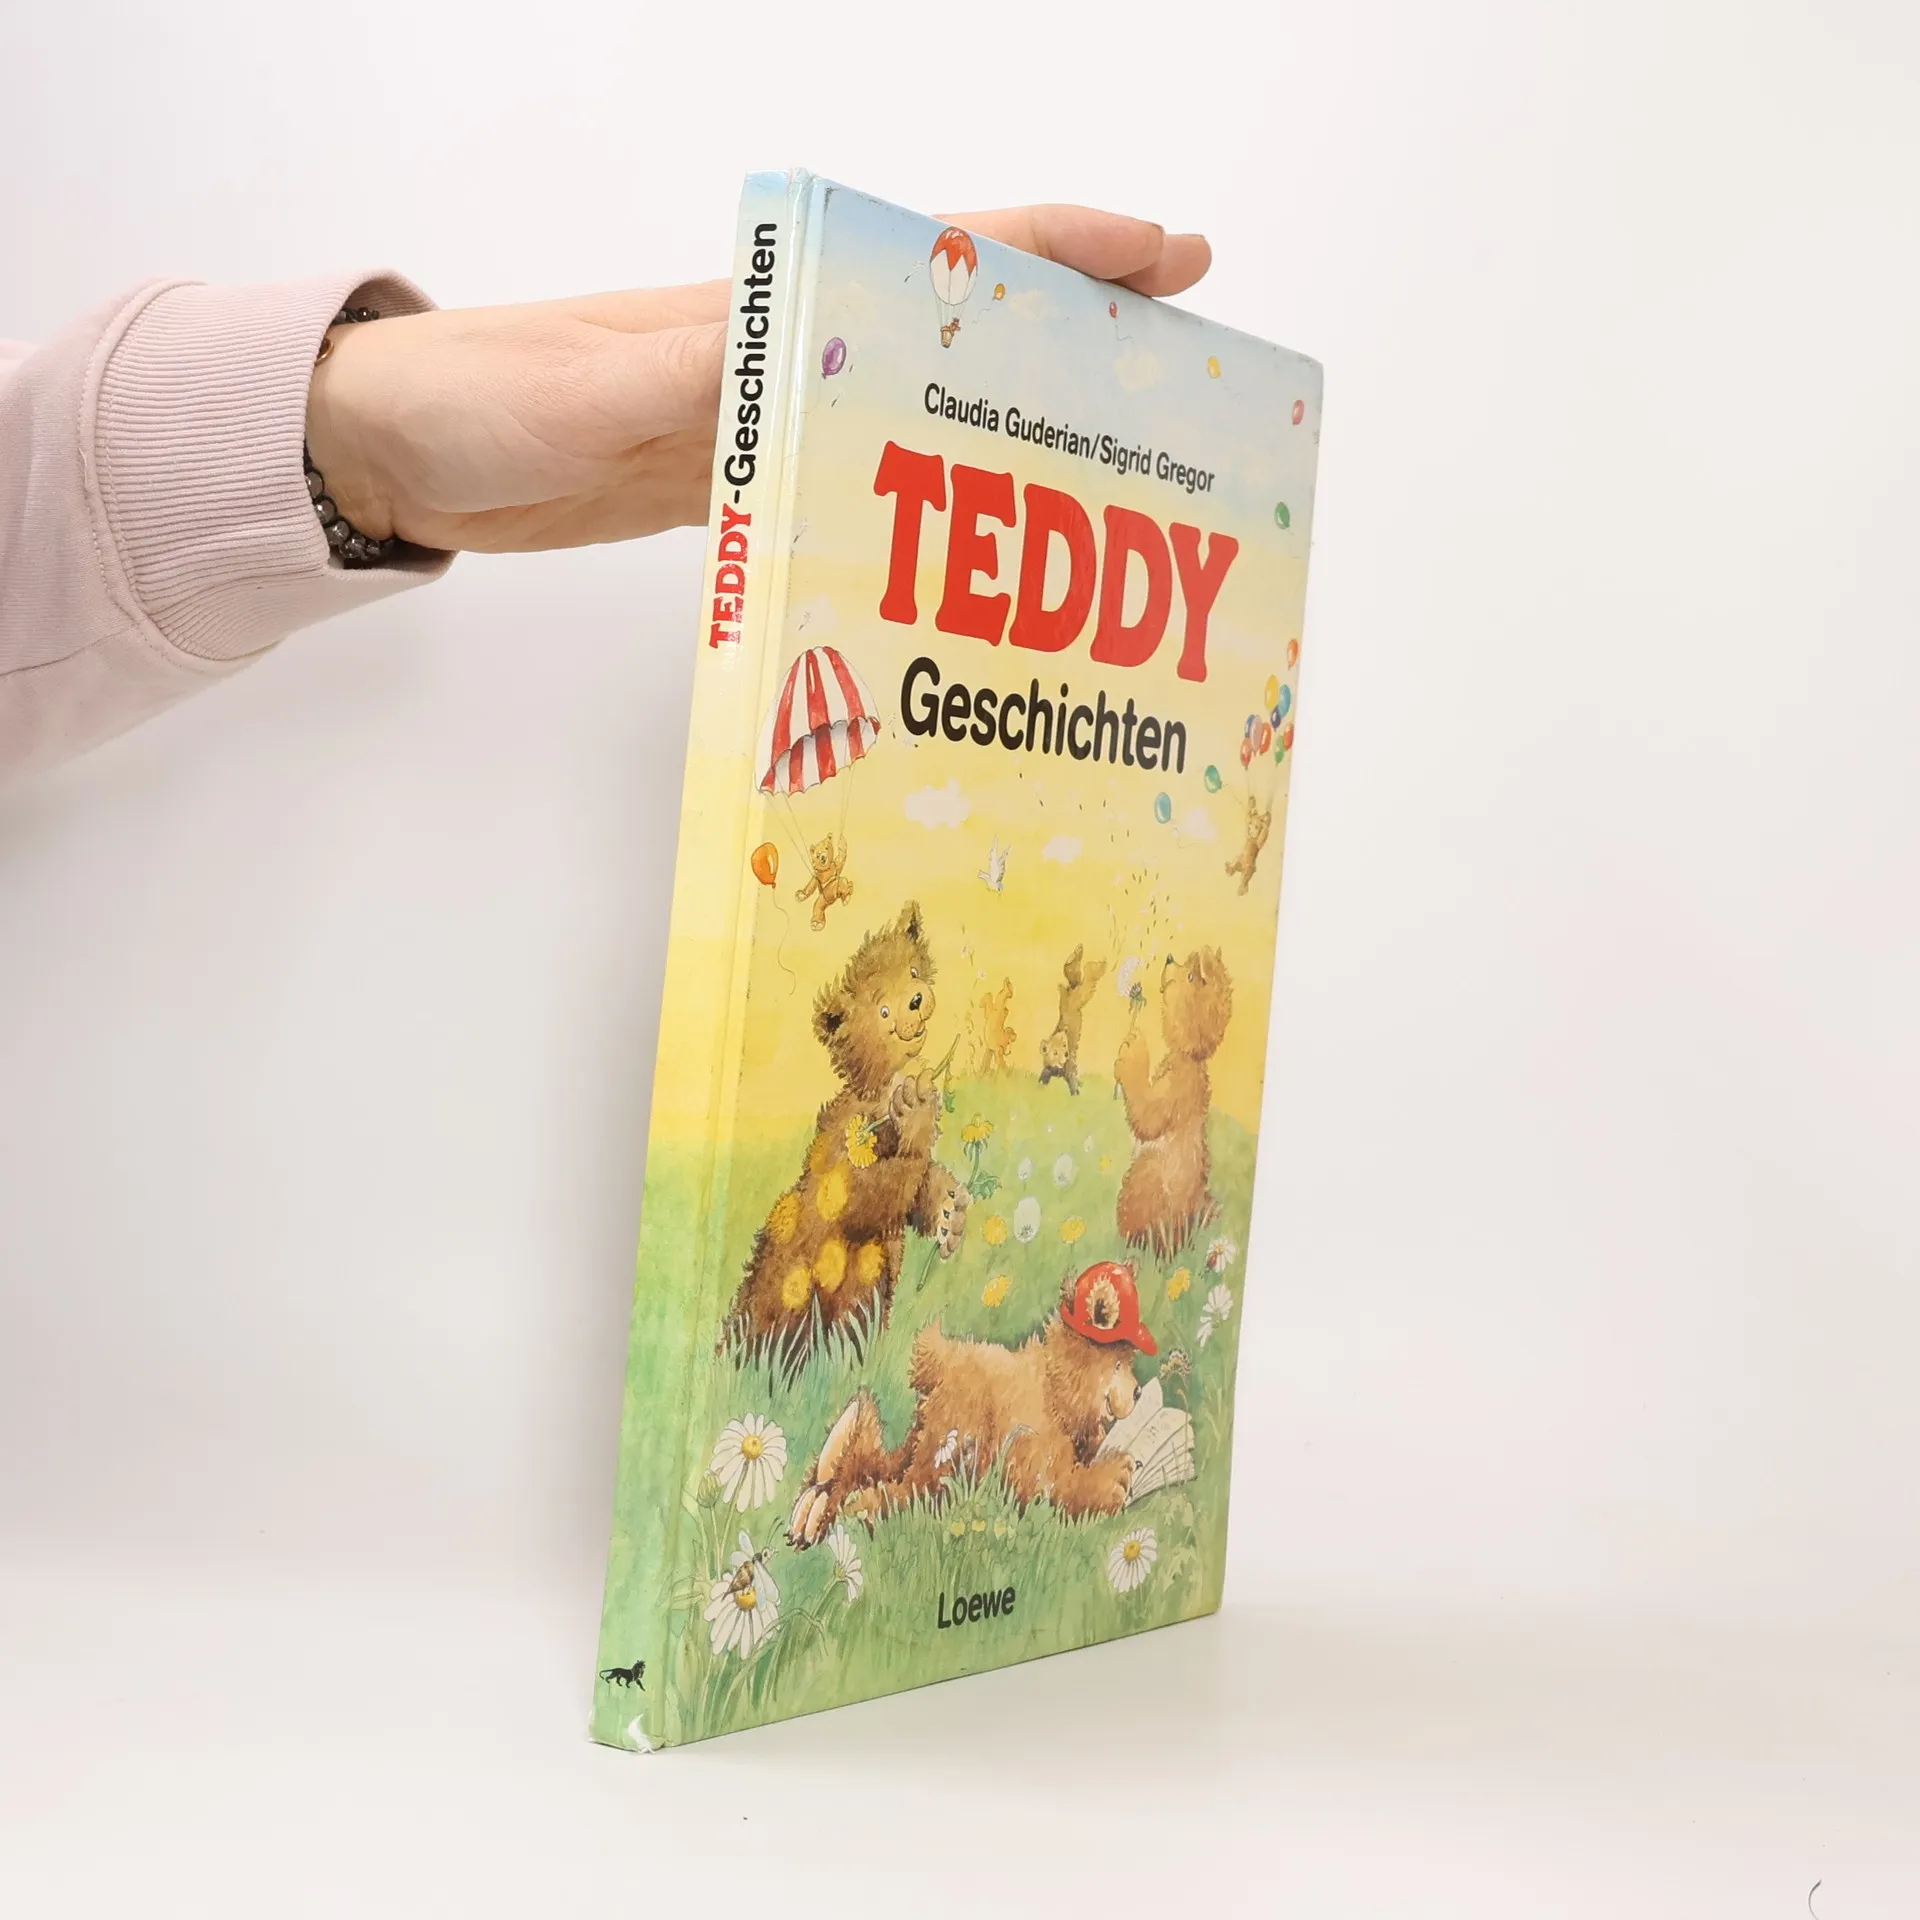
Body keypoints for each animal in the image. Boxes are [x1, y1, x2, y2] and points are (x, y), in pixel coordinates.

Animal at [722, 901, 970, 1374]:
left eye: (913, 969)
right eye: (883, 1011)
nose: (915, 1001)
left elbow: (917, 1192)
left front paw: (951, 1212)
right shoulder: (841, 1152)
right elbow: (871, 1196)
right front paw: (915, 1103)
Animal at [786, 1261, 1158, 1544]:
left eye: (1129, 1361)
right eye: (1119, 1364)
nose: (1139, 1391)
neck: (1056, 1387)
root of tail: (938, 1362)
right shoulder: (1031, 1442)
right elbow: (1053, 1486)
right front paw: (1117, 1478)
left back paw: (814, 1506)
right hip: (950, 1442)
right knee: (901, 1491)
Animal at [1038, 944, 1107, 1096]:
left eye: (1065, 1051)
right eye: (1054, 1052)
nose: (1065, 1056)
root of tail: (1073, 988)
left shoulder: (1070, 1070)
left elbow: (1074, 1084)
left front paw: (1076, 1093)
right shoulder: (1047, 1070)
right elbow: (1042, 1080)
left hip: (1079, 992)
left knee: (1083, 973)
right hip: (1068, 993)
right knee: (1072, 970)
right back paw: (1077, 952)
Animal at [1114, 947, 1234, 1260]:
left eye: (1191, 976)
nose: (1168, 958)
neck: (1188, 1056)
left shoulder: (1176, 1090)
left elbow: (1148, 1119)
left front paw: (1132, 1048)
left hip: (1143, 1180)